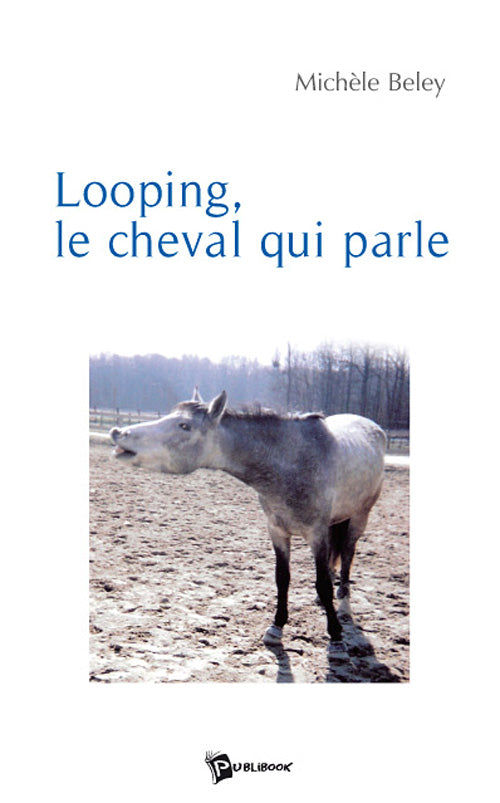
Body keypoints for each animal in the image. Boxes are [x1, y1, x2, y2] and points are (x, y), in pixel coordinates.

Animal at [110, 390, 386, 658]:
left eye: (184, 426)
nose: (118, 433)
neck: (292, 461)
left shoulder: (316, 534)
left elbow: (323, 586)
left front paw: (336, 638)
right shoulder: (277, 531)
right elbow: (282, 578)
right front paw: (276, 627)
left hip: (359, 517)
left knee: (348, 553)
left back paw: (344, 603)